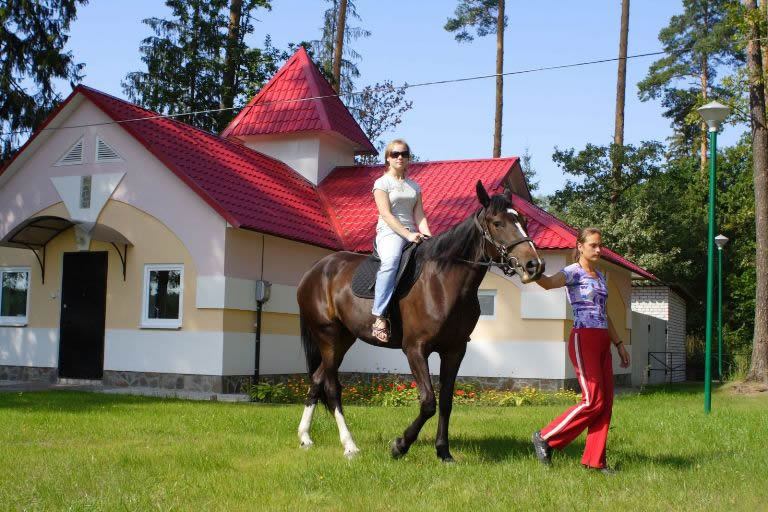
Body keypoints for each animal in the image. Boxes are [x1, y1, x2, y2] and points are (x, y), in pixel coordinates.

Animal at [296, 180, 544, 460]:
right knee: (331, 387)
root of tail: (315, 269)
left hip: (343, 339)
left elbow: (445, 402)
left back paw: (305, 437)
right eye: (498, 222)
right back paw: (349, 445)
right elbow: (428, 402)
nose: (534, 265)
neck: (443, 282)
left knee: (317, 379)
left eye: (523, 220)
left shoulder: (454, 350)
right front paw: (400, 445)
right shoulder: (415, 349)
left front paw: (443, 451)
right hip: (328, 337)